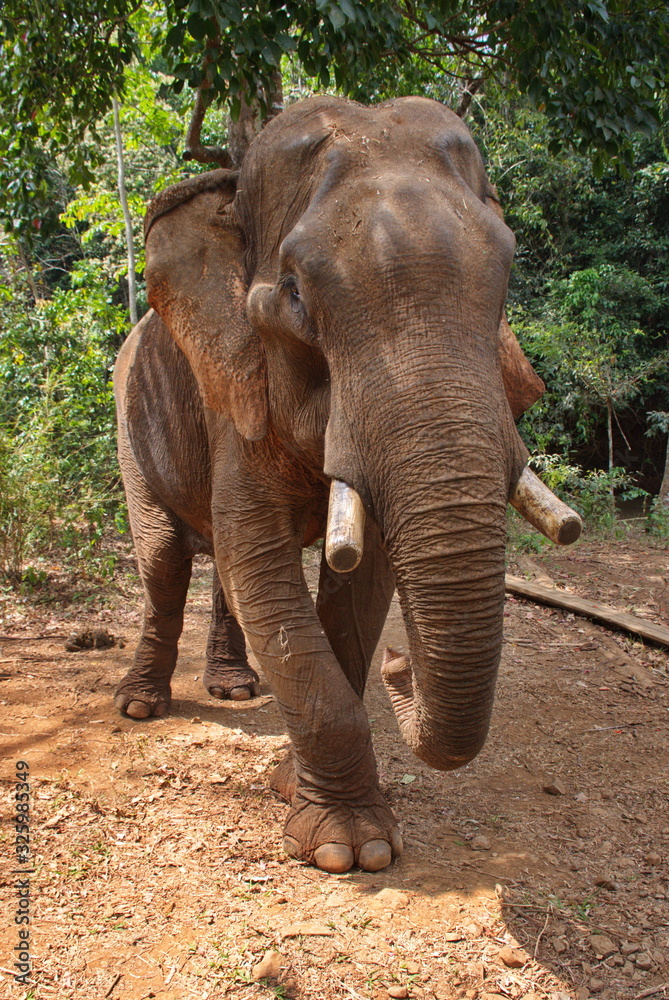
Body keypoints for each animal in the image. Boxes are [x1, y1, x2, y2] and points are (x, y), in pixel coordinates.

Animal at [114, 94, 579, 874]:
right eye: (295, 295)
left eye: (507, 276)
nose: (402, 663)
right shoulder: (233, 392)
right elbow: (261, 565)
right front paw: (347, 850)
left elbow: (359, 585)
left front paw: (295, 792)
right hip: (127, 422)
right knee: (166, 559)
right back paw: (139, 706)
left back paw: (233, 688)